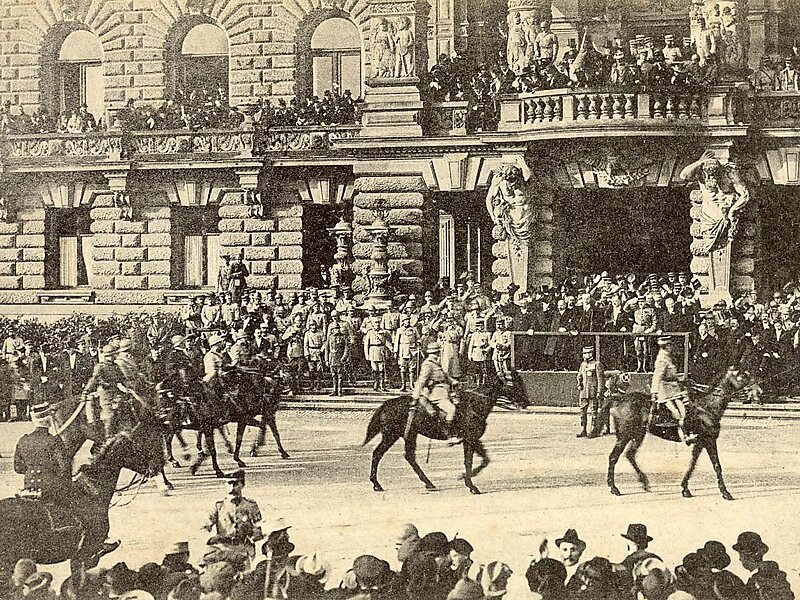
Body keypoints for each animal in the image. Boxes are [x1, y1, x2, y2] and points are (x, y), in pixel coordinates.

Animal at [363, 371, 526, 495]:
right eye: (514, 383)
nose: (525, 402)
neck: (476, 404)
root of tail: (386, 404)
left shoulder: (474, 439)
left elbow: (485, 460)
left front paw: (466, 478)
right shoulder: (469, 439)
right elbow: (469, 461)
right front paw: (470, 484)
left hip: (408, 435)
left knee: (407, 456)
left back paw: (428, 483)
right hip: (392, 435)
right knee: (379, 454)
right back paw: (377, 484)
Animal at [607, 367, 759, 500]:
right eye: (742, 375)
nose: (758, 390)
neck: (707, 406)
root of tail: (618, 399)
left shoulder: (701, 442)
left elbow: (694, 464)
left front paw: (685, 488)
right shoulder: (709, 440)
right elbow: (716, 466)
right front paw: (725, 492)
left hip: (638, 434)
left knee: (630, 455)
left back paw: (644, 483)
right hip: (624, 435)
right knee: (614, 457)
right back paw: (614, 488)